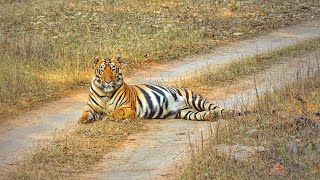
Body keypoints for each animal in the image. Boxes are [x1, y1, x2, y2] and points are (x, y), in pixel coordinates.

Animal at [79, 55, 240, 124]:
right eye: (103, 70)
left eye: (113, 69)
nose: (108, 80)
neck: (105, 92)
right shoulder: (91, 107)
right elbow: (86, 113)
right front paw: (83, 120)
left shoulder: (128, 108)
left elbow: (117, 112)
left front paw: (110, 116)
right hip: (186, 112)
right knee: (203, 114)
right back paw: (210, 116)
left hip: (196, 100)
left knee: (217, 108)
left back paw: (231, 113)